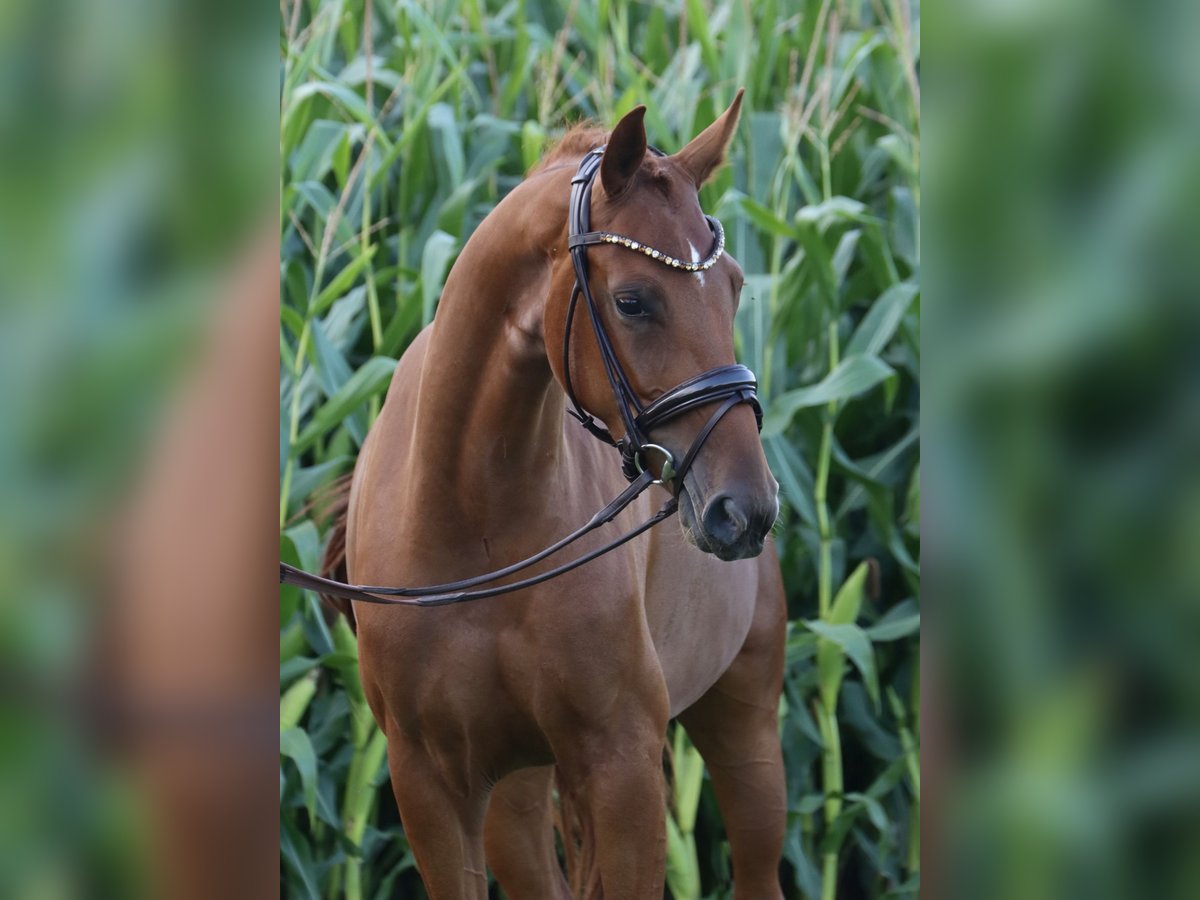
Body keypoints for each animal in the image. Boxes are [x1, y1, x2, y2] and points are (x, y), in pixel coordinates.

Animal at [328, 95, 787, 897]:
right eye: (632, 301)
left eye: (733, 285)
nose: (746, 509)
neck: (471, 524)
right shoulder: (431, 784)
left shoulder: (623, 766)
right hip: (516, 794)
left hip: (747, 731)